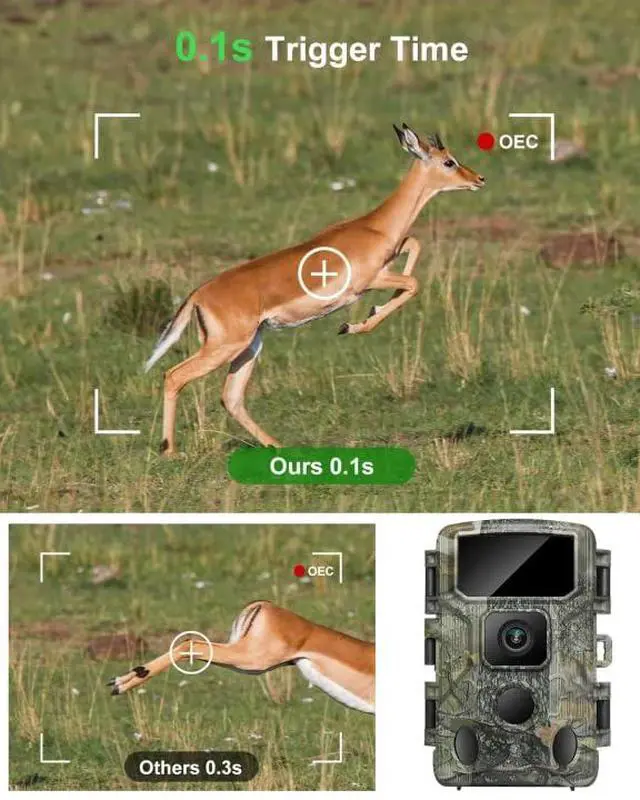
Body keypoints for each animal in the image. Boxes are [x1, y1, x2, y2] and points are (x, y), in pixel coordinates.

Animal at [145, 123, 485, 452]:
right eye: (449, 161)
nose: (479, 178)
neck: (374, 227)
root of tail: (199, 294)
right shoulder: (367, 282)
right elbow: (413, 283)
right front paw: (352, 325)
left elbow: (413, 245)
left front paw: (362, 317)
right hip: (224, 346)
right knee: (173, 376)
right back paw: (170, 451)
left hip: (250, 346)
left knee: (231, 397)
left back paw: (278, 446)